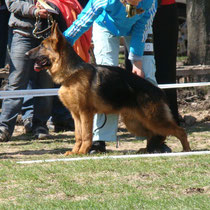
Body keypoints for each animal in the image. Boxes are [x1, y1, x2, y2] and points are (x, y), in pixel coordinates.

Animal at [25, 23, 191, 155]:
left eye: (42, 46)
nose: (26, 54)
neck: (71, 74)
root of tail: (158, 90)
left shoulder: (85, 113)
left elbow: (86, 135)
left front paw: (82, 152)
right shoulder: (76, 115)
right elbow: (78, 135)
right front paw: (75, 152)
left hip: (153, 120)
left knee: (179, 131)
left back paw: (186, 150)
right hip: (135, 123)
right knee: (153, 134)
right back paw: (148, 149)